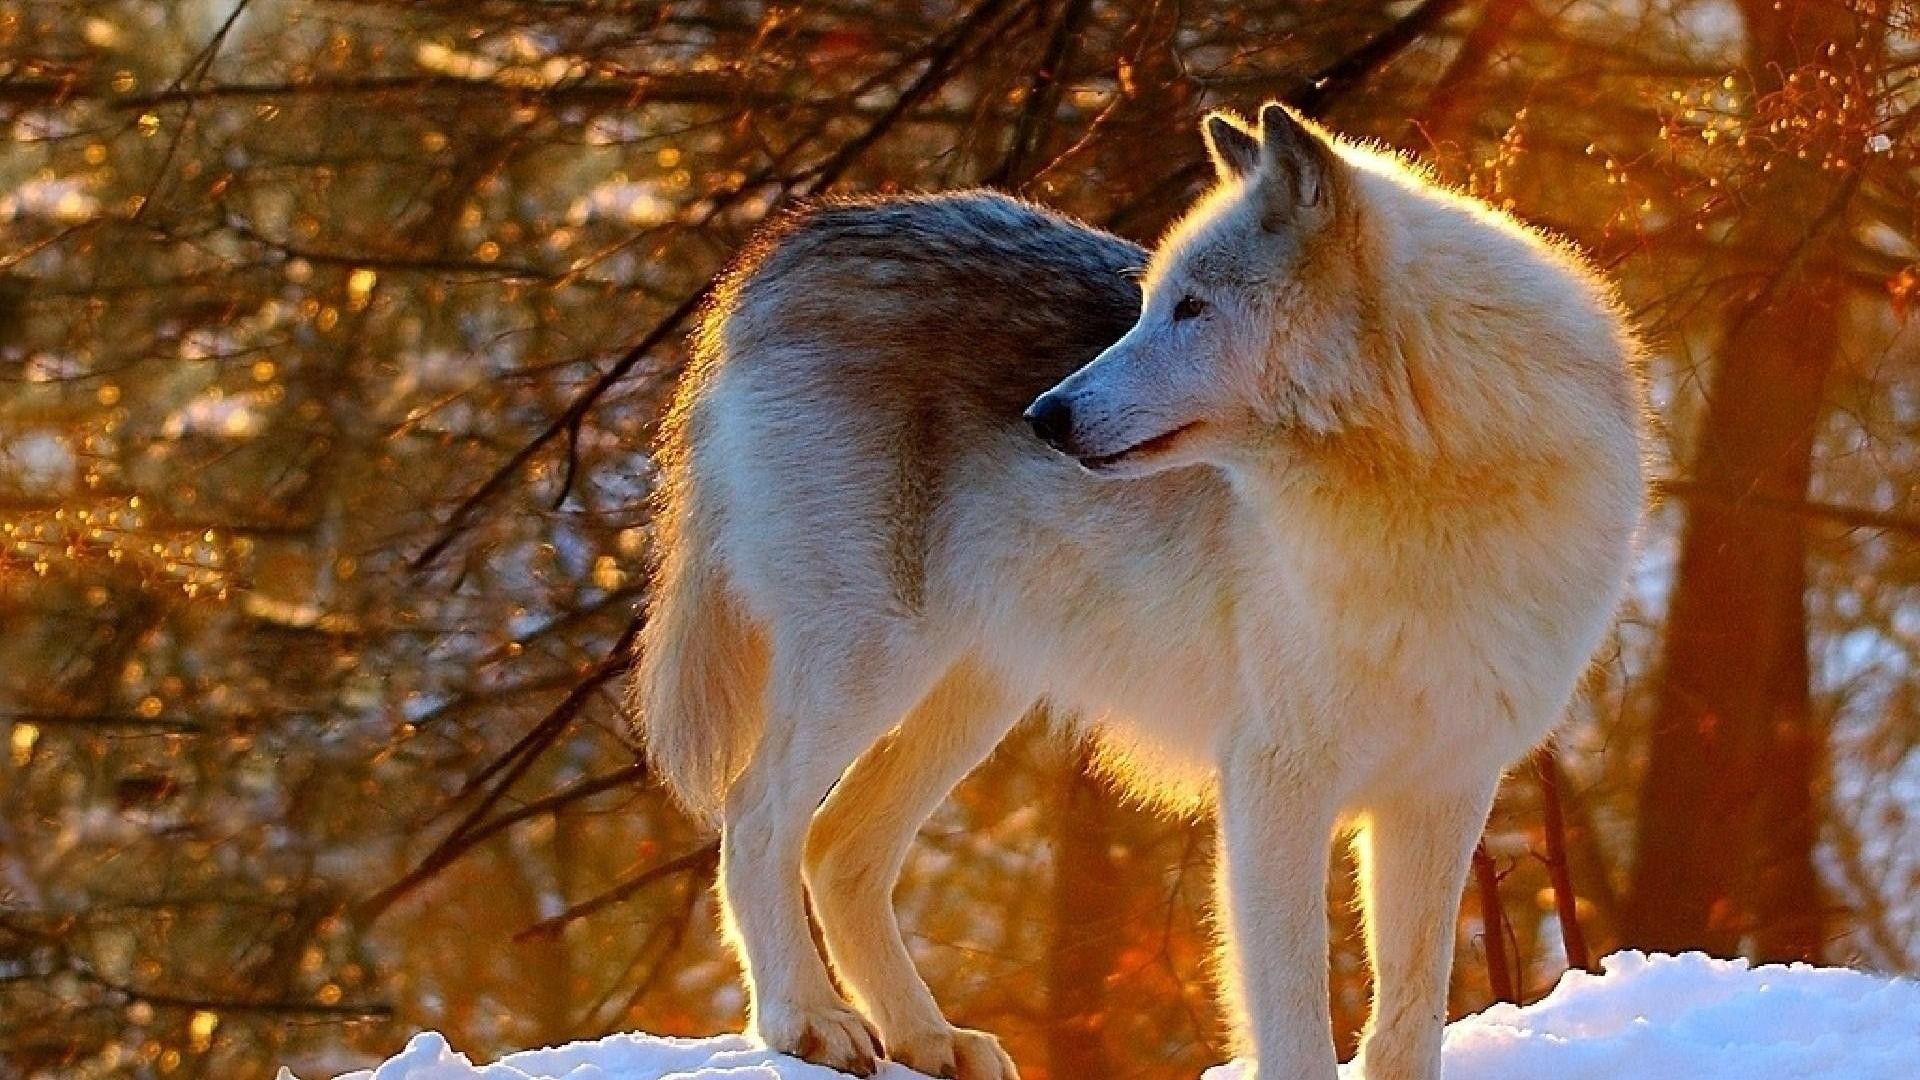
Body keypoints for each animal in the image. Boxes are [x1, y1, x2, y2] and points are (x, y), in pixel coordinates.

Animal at [633, 102, 1651, 1076]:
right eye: (1148, 304)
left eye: (1191, 309)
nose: (1044, 415)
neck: (1428, 491)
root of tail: (788, 245)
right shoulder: (1273, 782)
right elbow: (1293, 1024)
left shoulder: (1443, 792)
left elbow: (1406, 1023)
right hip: (873, 663)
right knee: (757, 818)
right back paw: (807, 1023)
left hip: (974, 692)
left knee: (837, 847)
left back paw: (929, 1038)